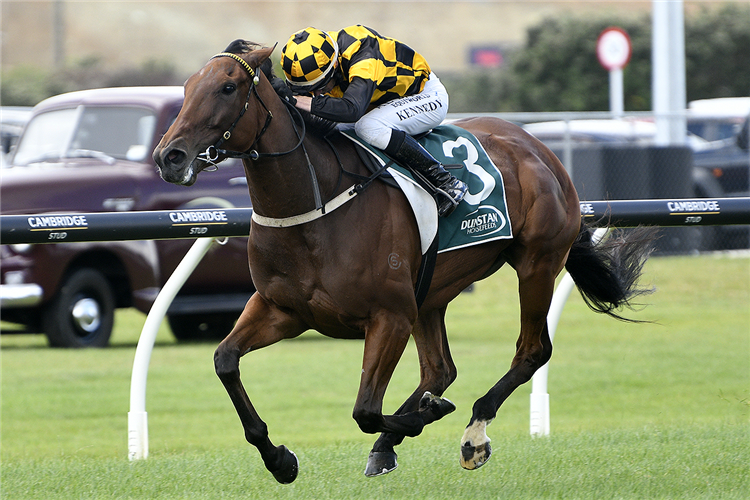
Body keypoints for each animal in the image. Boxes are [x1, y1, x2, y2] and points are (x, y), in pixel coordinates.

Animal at [153, 43, 652, 484]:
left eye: (228, 87)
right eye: (188, 87)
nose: (168, 156)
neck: (315, 206)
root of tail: (538, 147)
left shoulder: (388, 316)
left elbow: (365, 410)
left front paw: (426, 416)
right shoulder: (282, 309)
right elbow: (224, 361)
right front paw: (280, 460)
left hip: (536, 263)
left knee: (531, 350)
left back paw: (473, 434)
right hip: (430, 292)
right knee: (441, 369)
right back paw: (395, 439)